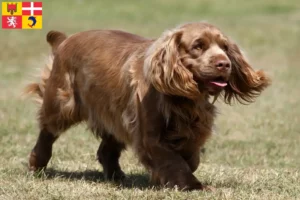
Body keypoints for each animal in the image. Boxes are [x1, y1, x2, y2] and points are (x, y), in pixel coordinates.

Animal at [25, 22, 270, 190]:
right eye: (198, 46)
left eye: (225, 47)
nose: (224, 64)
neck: (181, 96)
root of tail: (65, 40)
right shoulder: (150, 135)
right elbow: (174, 161)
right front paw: (192, 185)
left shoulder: (193, 129)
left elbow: (191, 157)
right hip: (61, 104)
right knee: (47, 132)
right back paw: (37, 165)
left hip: (114, 113)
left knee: (106, 150)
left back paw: (117, 177)